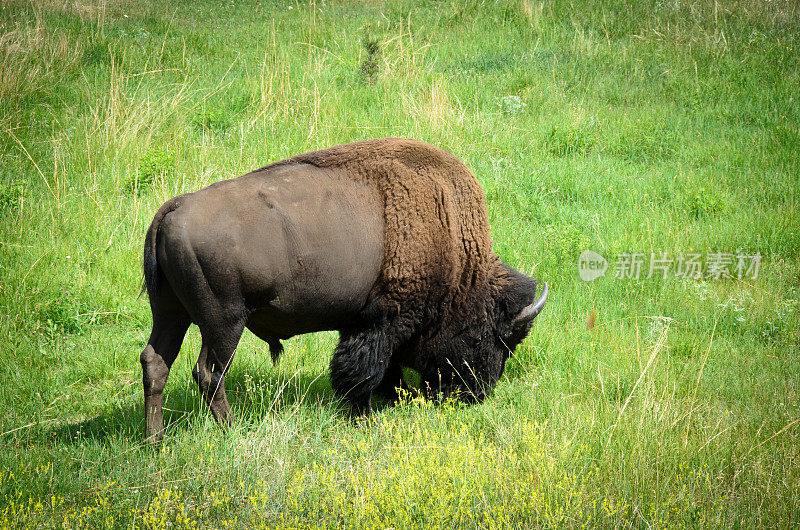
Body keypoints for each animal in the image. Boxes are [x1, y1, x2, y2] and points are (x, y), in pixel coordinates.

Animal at [141, 136, 548, 438]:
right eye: (495, 337)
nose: (477, 394)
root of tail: (172, 210)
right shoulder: (383, 320)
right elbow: (364, 370)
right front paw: (365, 416)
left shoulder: (364, 323)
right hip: (224, 322)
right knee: (209, 373)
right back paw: (232, 431)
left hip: (171, 314)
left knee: (155, 363)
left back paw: (154, 439)